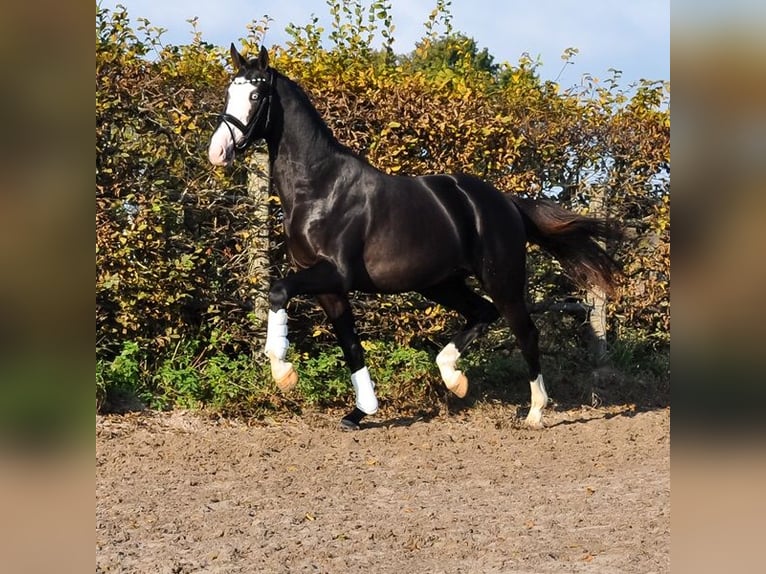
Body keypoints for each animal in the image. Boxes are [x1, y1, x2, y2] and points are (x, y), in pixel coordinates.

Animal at [207, 46, 620, 432]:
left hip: (501, 280)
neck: (321, 187)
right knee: (482, 313)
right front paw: (361, 412)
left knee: (526, 332)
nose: (218, 151)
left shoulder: (335, 274)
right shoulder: (327, 286)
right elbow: (351, 344)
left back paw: (534, 412)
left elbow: (278, 291)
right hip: (440, 283)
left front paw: (283, 372)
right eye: (229, 91)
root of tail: (505, 202)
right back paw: (454, 378)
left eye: (255, 95)